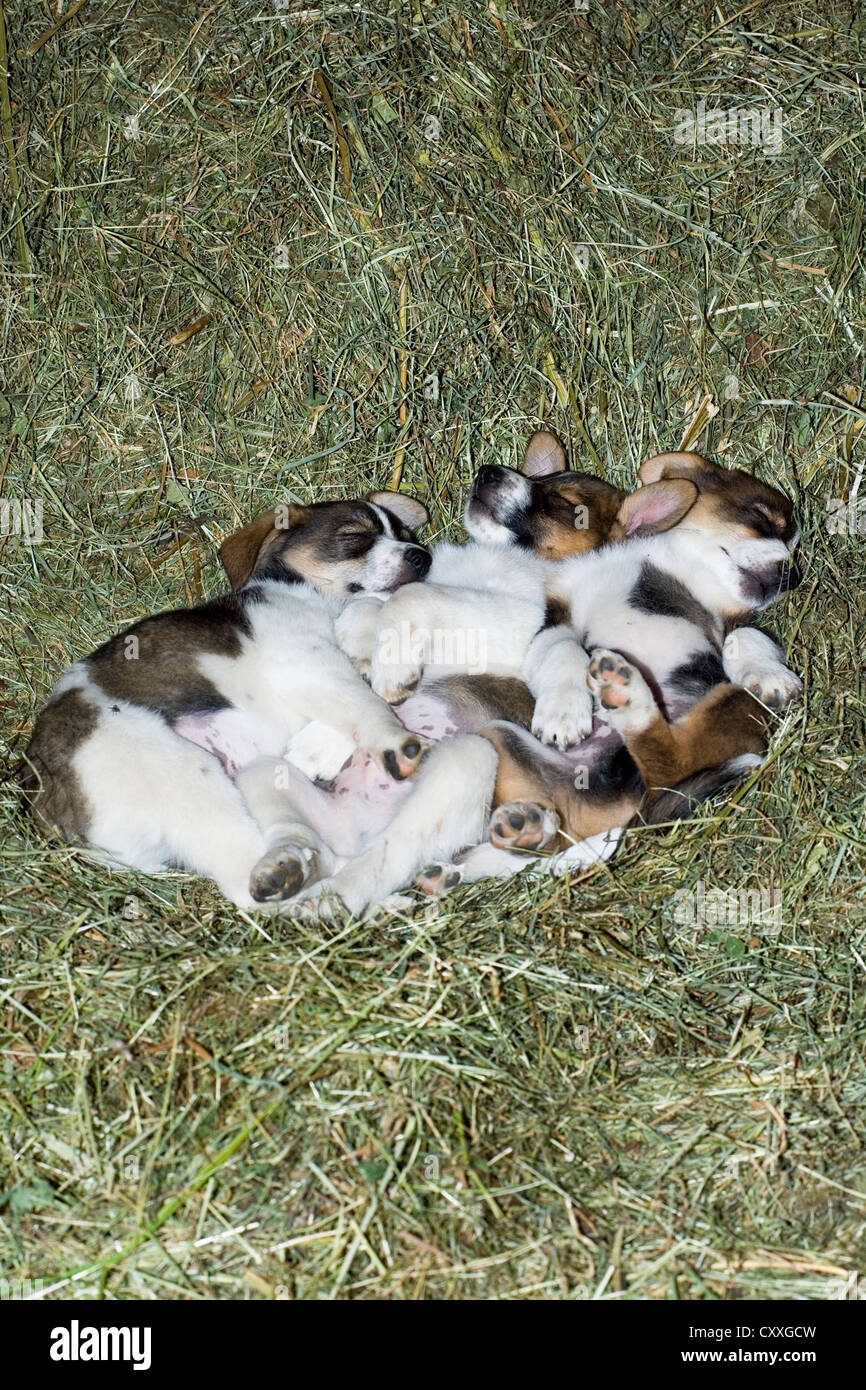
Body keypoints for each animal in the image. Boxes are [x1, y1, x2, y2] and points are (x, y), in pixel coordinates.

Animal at [22, 494, 433, 906]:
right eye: (355, 536)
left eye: (405, 535)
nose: (421, 557)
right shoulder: (304, 663)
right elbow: (364, 704)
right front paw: (394, 741)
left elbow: (369, 624)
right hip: (189, 777)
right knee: (255, 881)